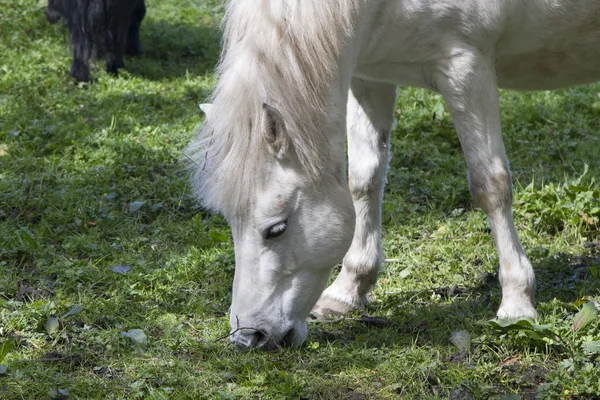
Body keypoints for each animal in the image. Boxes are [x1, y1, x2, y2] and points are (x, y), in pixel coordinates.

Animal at [189, 0, 600, 348]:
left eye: (276, 228)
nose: (248, 338)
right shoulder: (369, 77)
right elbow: (363, 181)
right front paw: (347, 291)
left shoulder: (466, 68)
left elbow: (491, 186)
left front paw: (517, 304)